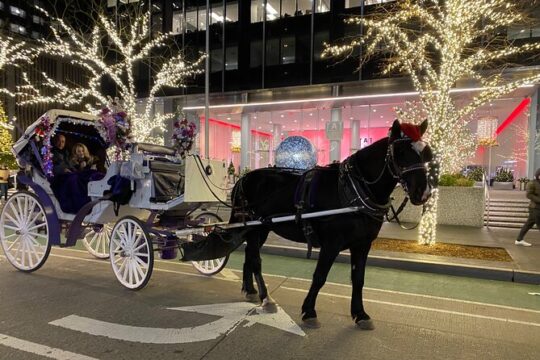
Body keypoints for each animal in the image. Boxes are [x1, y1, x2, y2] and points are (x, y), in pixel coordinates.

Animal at [184, 120, 432, 330]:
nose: (423, 192)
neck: (354, 190)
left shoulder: (362, 245)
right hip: (255, 226)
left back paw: (251, 290)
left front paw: (360, 314)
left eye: (425, 153)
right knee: (255, 259)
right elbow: (320, 276)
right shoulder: (332, 244)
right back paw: (265, 297)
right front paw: (309, 311)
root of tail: (244, 178)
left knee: (249, 256)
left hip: (259, 228)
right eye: (401, 153)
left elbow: (359, 279)